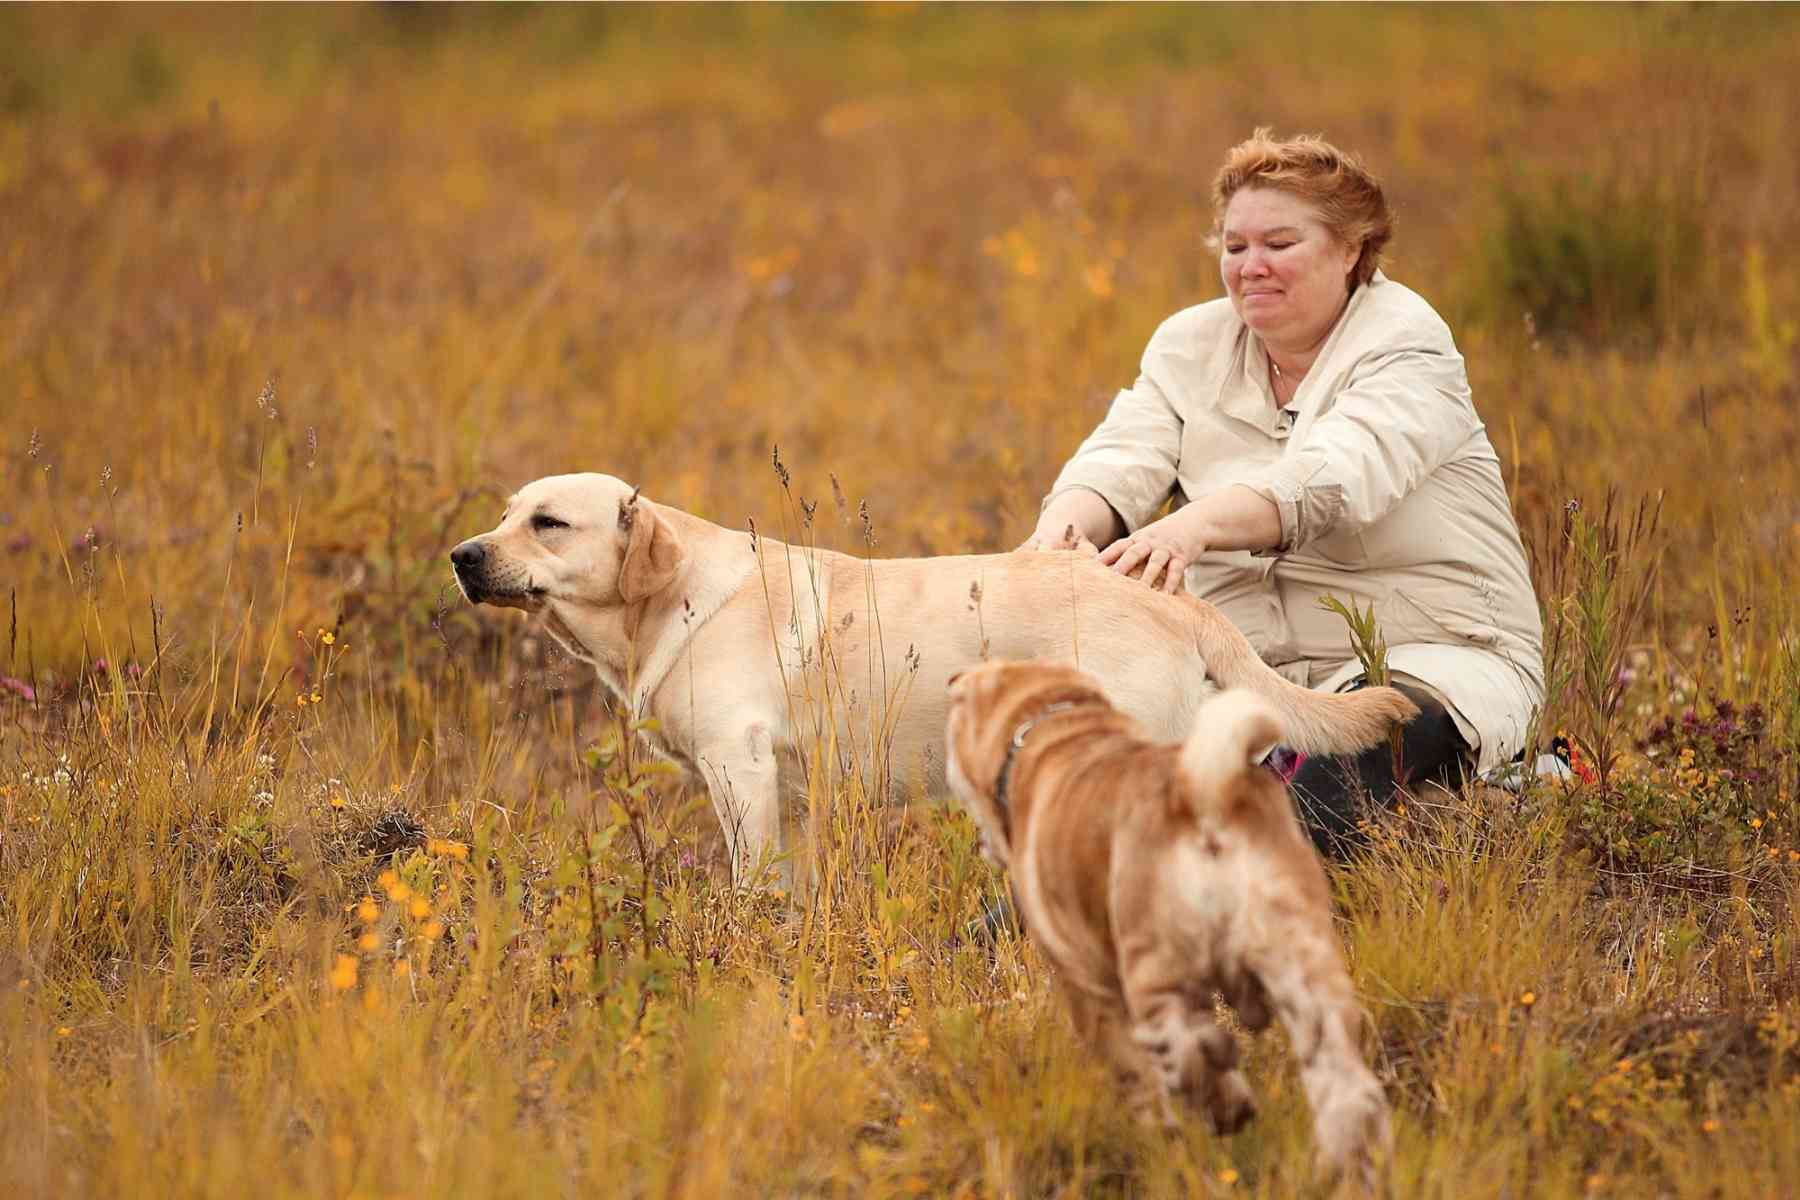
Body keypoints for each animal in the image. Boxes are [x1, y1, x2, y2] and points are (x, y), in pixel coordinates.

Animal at [943, 662, 1389, 1194]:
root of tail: (1206, 794)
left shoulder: (1087, 988)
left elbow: (1134, 1078)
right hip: (1303, 969)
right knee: (1345, 1089)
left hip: (1156, 968)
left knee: (1191, 1047)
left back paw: (1225, 1107)